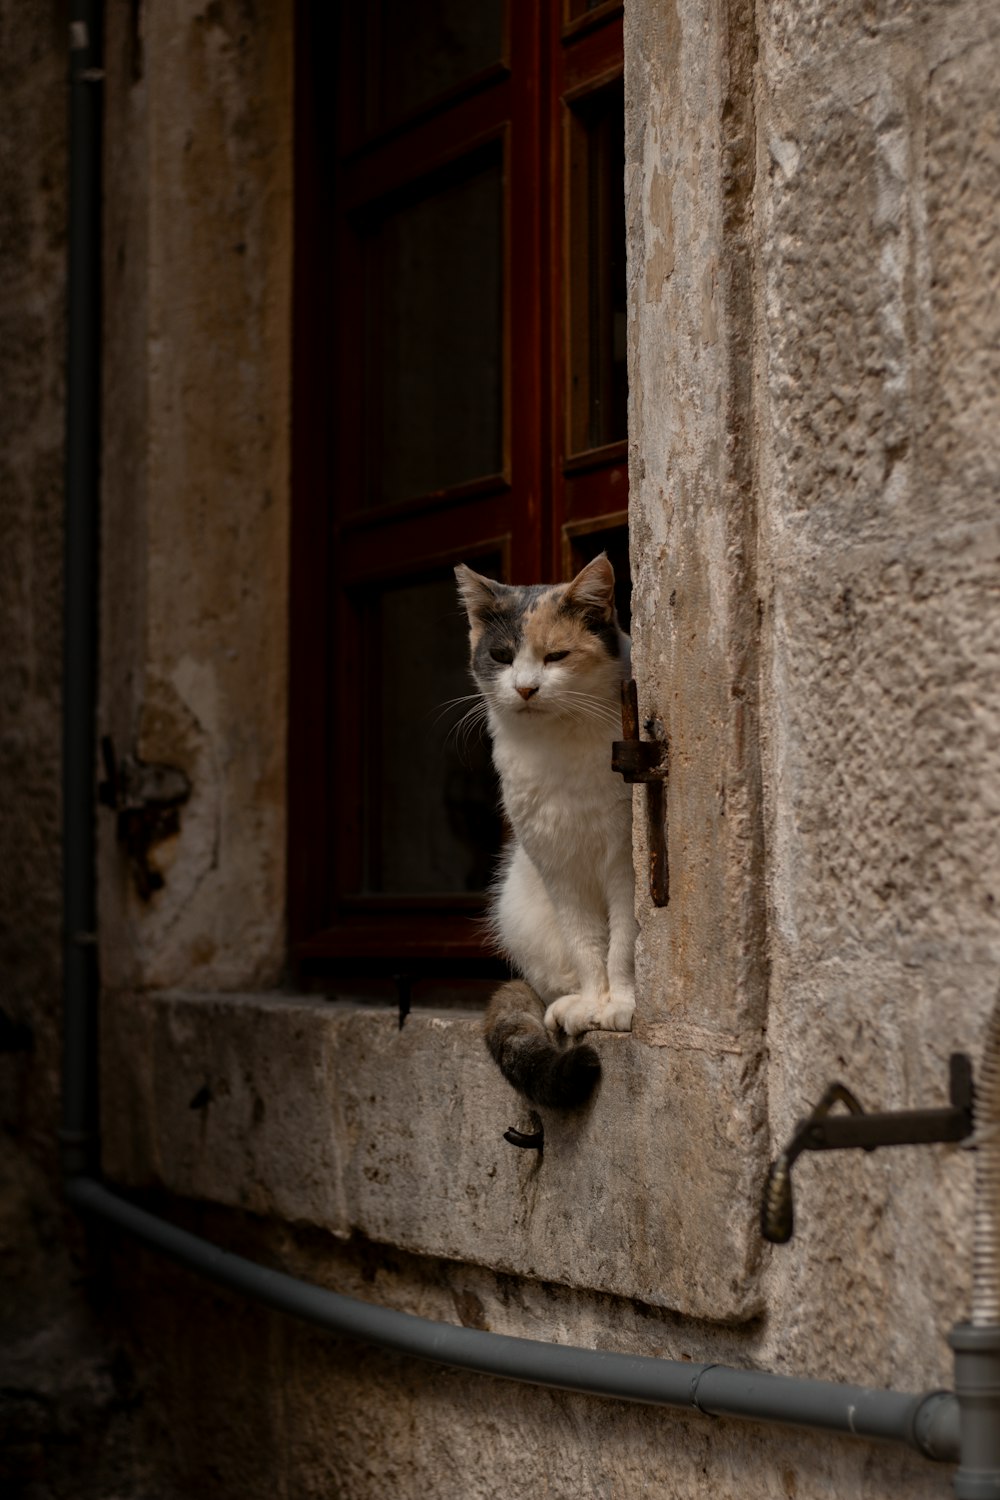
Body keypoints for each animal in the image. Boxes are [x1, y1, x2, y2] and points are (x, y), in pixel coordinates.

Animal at [458, 558, 638, 1110]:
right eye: (501, 656)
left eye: (556, 655)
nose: (524, 688)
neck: (561, 744)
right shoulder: (559, 866)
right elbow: (587, 943)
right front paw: (594, 1003)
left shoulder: (624, 863)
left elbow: (623, 942)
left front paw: (622, 1005)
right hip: (520, 904)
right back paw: (570, 1005)